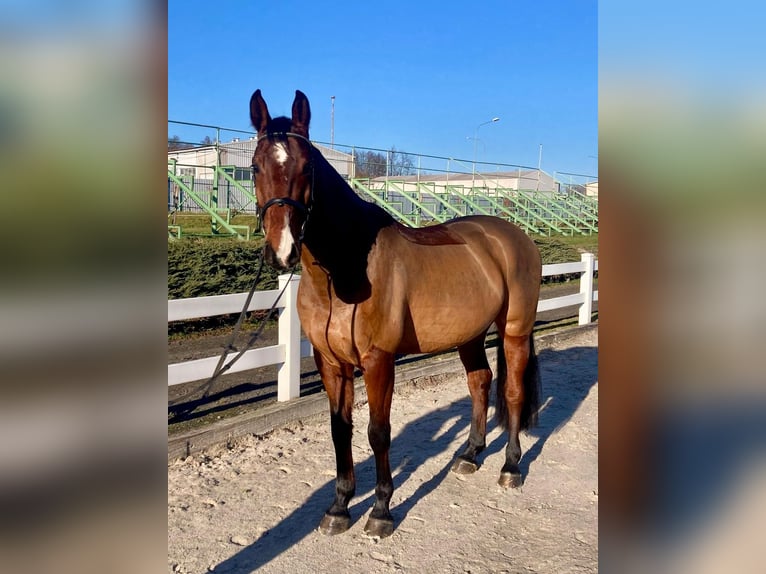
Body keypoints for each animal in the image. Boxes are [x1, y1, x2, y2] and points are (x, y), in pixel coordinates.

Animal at [249, 89, 542, 539]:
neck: (347, 268)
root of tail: (513, 235)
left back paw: (510, 466)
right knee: (480, 382)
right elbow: (340, 430)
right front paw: (339, 507)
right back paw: (470, 455)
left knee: (512, 392)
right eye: (254, 166)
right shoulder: (331, 363)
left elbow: (378, 433)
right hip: (470, 336)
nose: (282, 251)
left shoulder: (378, 361)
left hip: (514, 331)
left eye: (307, 166)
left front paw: (381, 510)